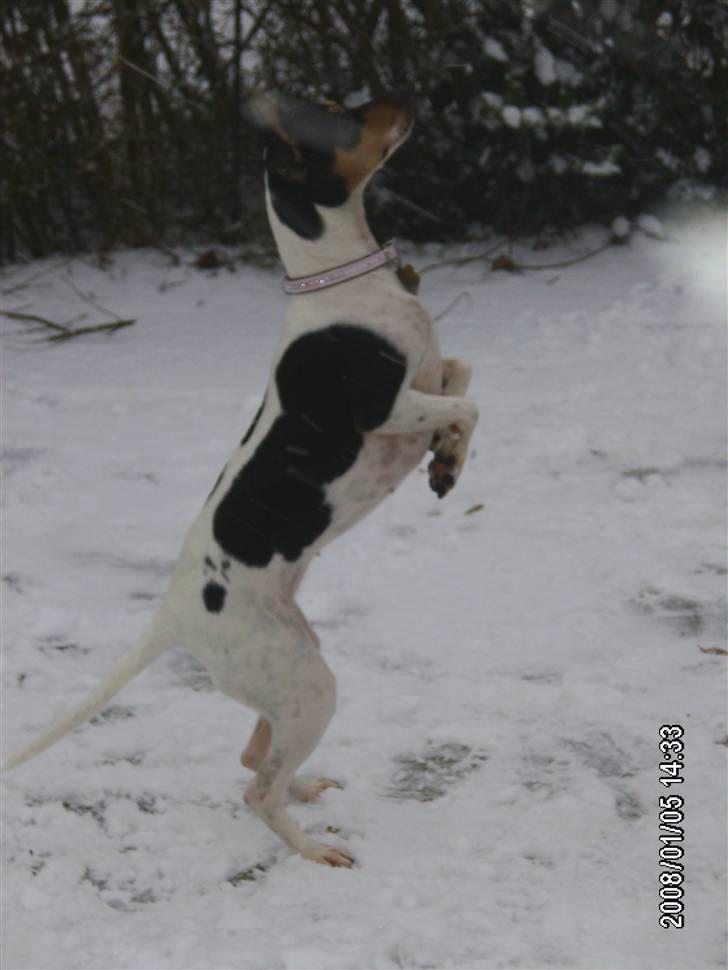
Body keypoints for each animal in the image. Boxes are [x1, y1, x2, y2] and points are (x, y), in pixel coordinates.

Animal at [7, 92, 484, 864]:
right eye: (341, 115)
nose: (403, 102)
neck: (342, 280)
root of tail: (170, 616)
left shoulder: (427, 379)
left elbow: (463, 375)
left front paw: (446, 461)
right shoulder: (387, 409)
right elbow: (469, 400)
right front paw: (449, 455)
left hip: (294, 669)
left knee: (256, 758)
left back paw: (308, 791)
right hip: (308, 684)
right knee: (255, 788)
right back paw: (314, 849)